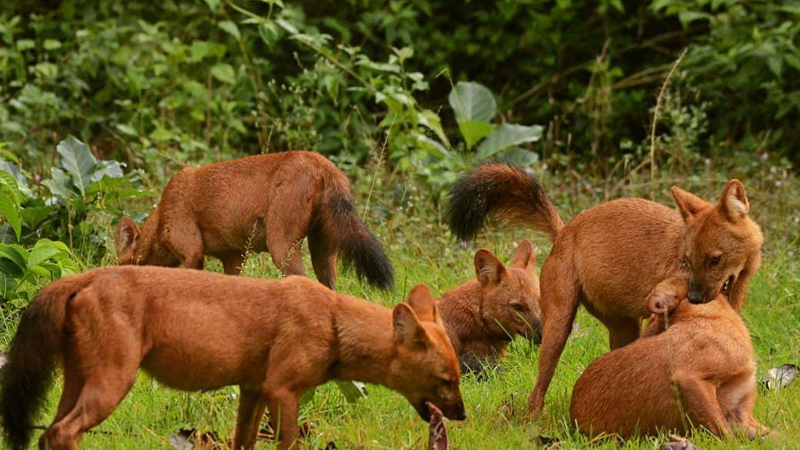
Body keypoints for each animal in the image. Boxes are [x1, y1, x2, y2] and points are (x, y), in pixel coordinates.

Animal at [0, 268, 462, 450]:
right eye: (446, 380)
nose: (461, 415)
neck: (333, 322)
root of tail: (84, 275)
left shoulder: (253, 388)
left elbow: (243, 441)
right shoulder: (282, 390)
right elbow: (289, 443)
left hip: (78, 380)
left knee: (49, 432)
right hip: (114, 381)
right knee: (64, 432)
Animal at [114, 151, 396, 290]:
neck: (163, 211)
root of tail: (323, 164)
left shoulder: (193, 253)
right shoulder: (234, 257)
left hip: (281, 248)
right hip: (323, 253)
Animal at [446, 163, 764, 416]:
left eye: (714, 259)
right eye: (687, 259)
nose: (696, 298)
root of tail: (565, 230)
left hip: (624, 328)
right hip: (557, 326)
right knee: (538, 389)